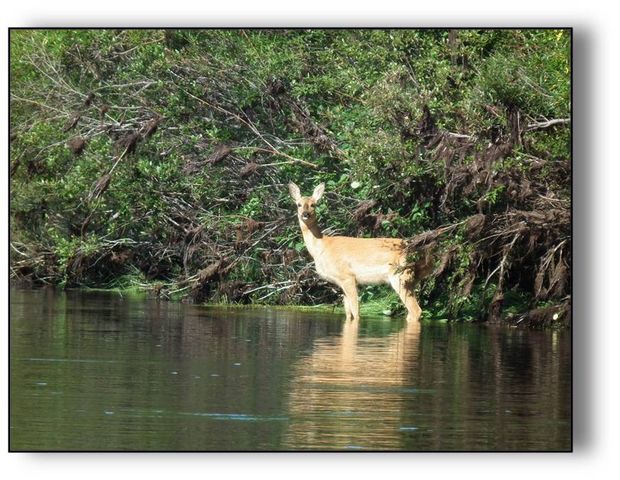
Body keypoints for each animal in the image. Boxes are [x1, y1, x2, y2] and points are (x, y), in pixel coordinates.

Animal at [290, 183, 424, 322]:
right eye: (298, 204)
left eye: (313, 204)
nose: (305, 214)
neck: (322, 246)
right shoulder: (341, 282)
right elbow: (348, 314)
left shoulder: (348, 276)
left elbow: (356, 312)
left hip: (400, 275)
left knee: (416, 310)